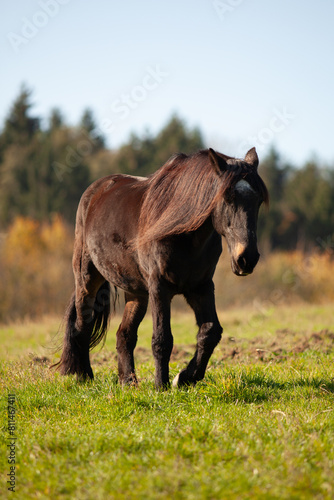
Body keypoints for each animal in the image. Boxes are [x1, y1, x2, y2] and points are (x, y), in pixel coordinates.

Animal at [54, 146, 268, 388]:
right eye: (228, 197)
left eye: (259, 200)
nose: (247, 258)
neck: (184, 235)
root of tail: (94, 191)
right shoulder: (159, 287)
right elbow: (162, 339)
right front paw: (161, 385)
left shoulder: (201, 287)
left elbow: (210, 332)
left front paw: (184, 377)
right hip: (88, 279)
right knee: (83, 324)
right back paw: (83, 376)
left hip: (136, 293)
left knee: (124, 334)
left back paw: (128, 381)